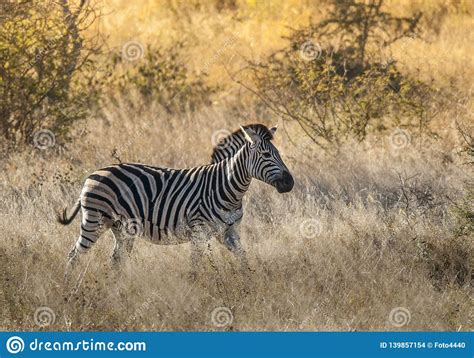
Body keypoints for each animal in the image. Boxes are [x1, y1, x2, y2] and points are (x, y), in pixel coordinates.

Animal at [57, 123, 294, 274]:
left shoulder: (228, 232)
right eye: (266, 155)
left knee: (115, 260)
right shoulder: (199, 232)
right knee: (73, 255)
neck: (228, 189)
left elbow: (244, 258)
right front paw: (195, 293)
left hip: (122, 229)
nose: (290, 183)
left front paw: (249, 283)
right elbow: (194, 267)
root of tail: (92, 174)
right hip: (94, 221)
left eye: (279, 154)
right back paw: (69, 288)